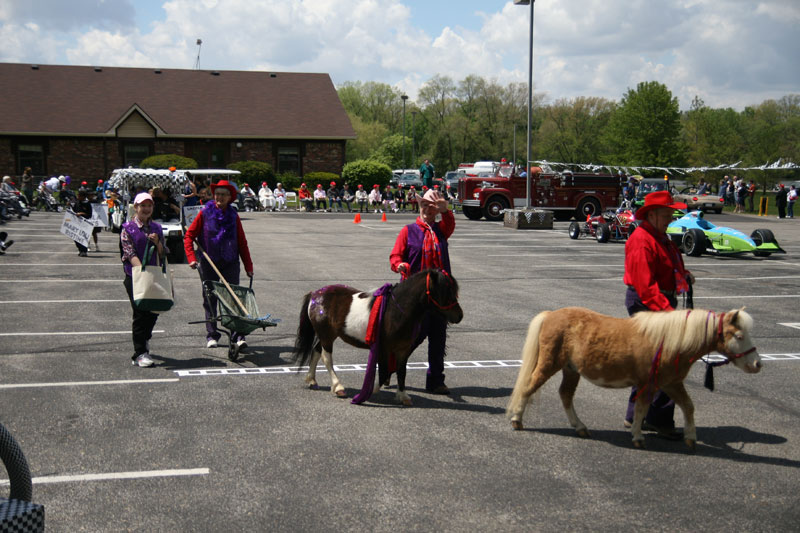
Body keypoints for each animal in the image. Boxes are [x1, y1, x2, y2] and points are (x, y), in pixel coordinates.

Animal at [292, 268, 462, 406]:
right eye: (444, 291)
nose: (459, 316)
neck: (395, 310)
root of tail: (315, 294)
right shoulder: (384, 348)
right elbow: (385, 371)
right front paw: (369, 391)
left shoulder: (403, 350)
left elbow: (401, 371)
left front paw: (403, 396)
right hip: (327, 336)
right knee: (326, 358)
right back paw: (338, 387)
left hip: (327, 335)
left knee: (316, 351)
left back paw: (312, 380)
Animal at [506, 306, 764, 446]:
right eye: (739, 336)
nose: (757, 364)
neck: (671, 341)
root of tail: (550, 315)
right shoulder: (649, 384)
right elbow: (641, 409)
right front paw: (638, 437)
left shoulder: (671, 384)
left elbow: (688, 407)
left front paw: (690, 437)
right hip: (550, 364)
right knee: (529, 386)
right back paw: (517, 420)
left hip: (571, 370)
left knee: (566, 395)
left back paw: (579, 426)